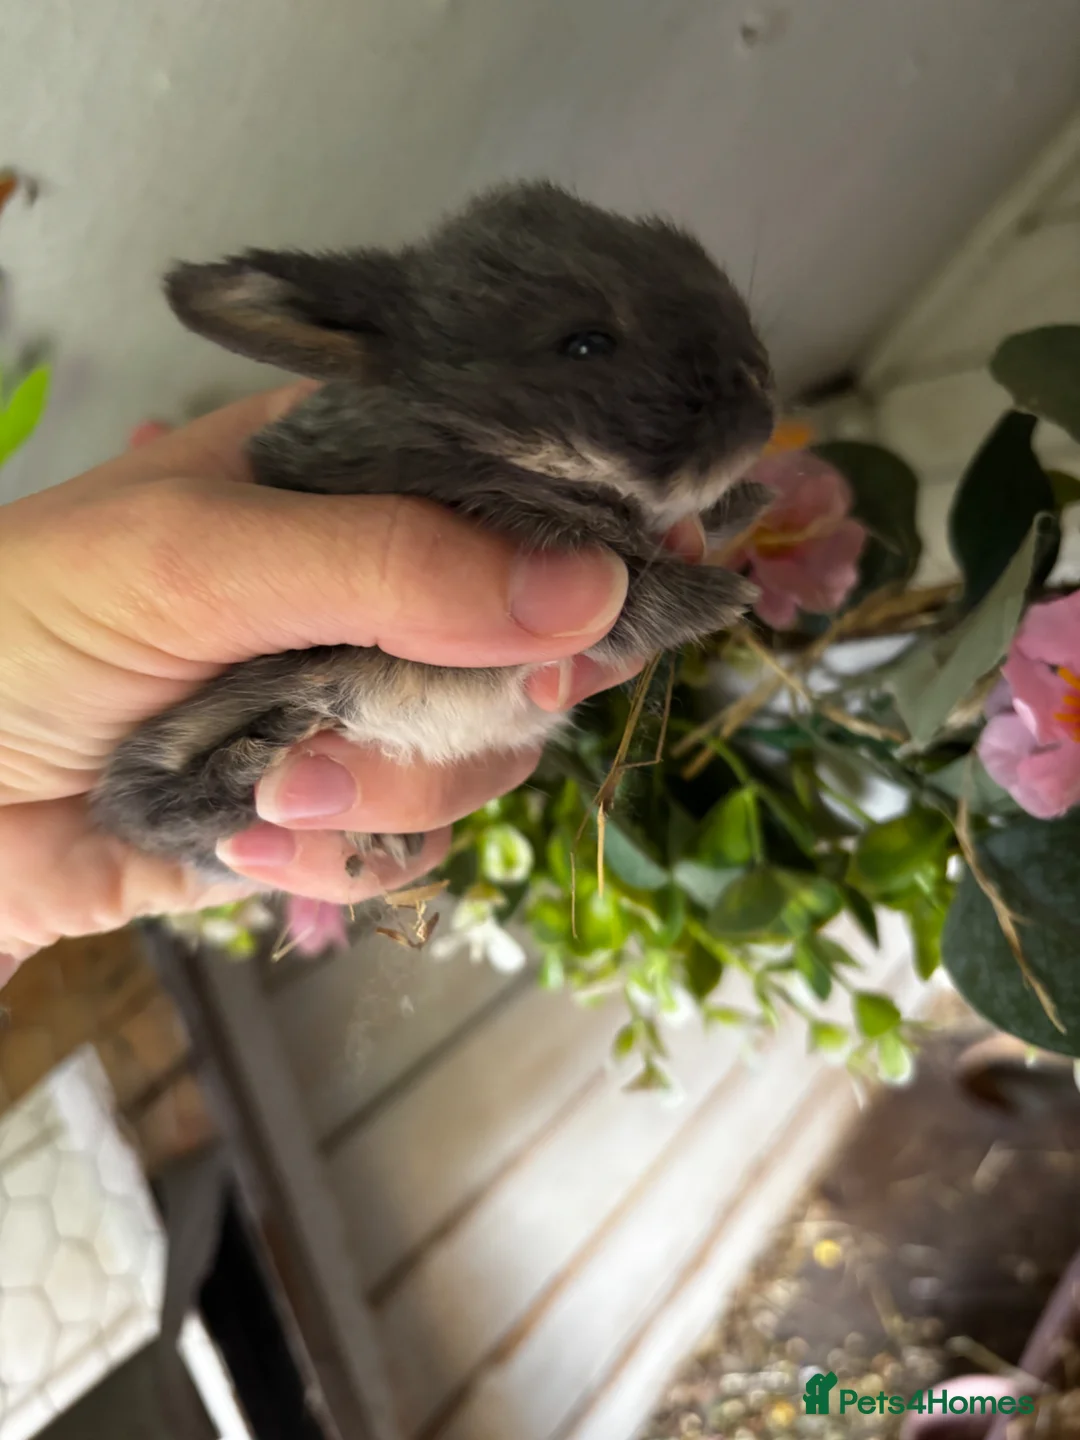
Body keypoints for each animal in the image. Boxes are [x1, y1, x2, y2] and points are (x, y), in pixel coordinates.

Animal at [92, 181, 777, 879]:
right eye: (587, 344)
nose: (760, 384)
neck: (476, 443)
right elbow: (628, 601)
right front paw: (722, 598)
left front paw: (748, 504)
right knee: (176, 812)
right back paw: (266, 754)